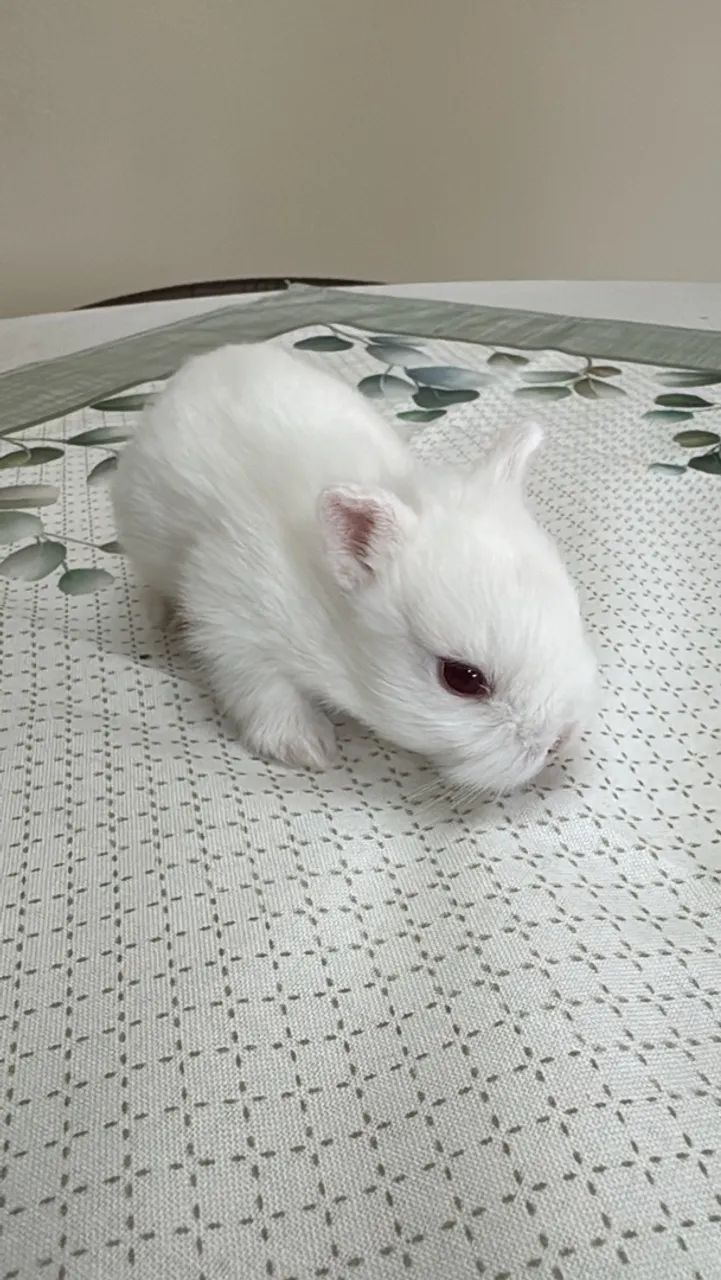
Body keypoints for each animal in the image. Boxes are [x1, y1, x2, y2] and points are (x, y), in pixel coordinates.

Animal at [113, 341, 598, 795]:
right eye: (462, 678)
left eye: (574, 619)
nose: (559, 741)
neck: (332, 616)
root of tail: (199, 365)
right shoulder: (230, 616)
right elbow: (263, 688)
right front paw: (307, 747)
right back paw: (155, 619)